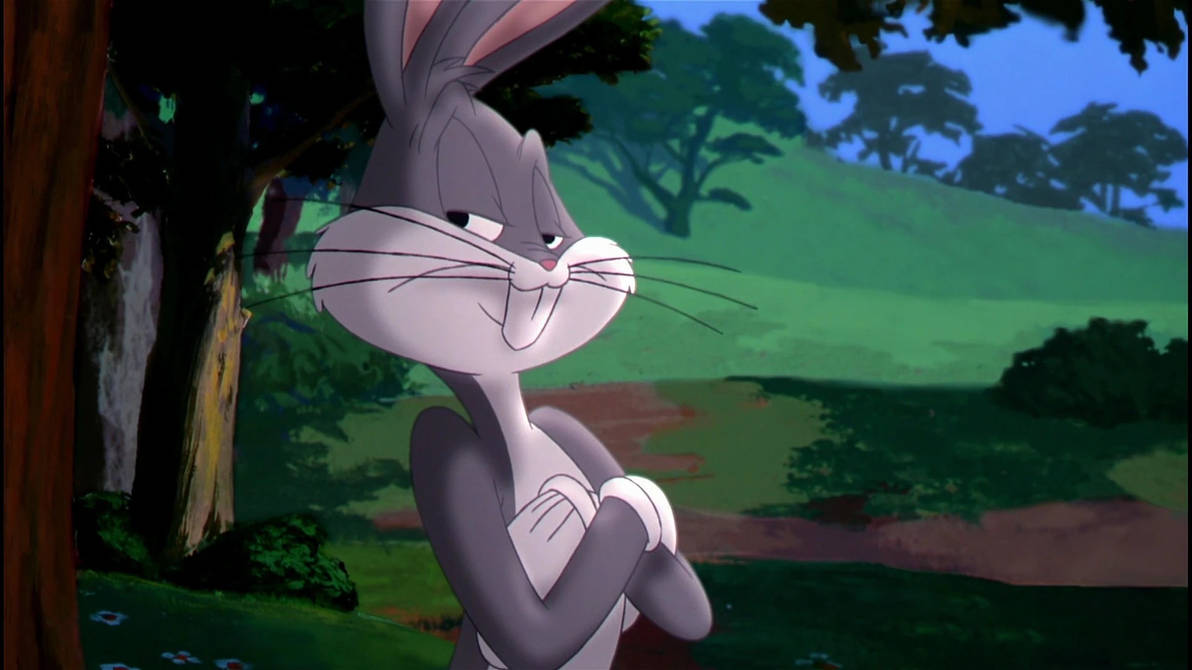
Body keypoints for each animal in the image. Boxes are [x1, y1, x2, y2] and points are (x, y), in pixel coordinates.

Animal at [307, 1, 713, 667]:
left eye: (551, 233)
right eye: (466, 220)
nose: (546, 261)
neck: (514, 426)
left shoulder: (562, 422)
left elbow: (689, 605)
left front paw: (631, 503)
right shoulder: (438, 441)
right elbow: (530, 632)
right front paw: (594, 506)